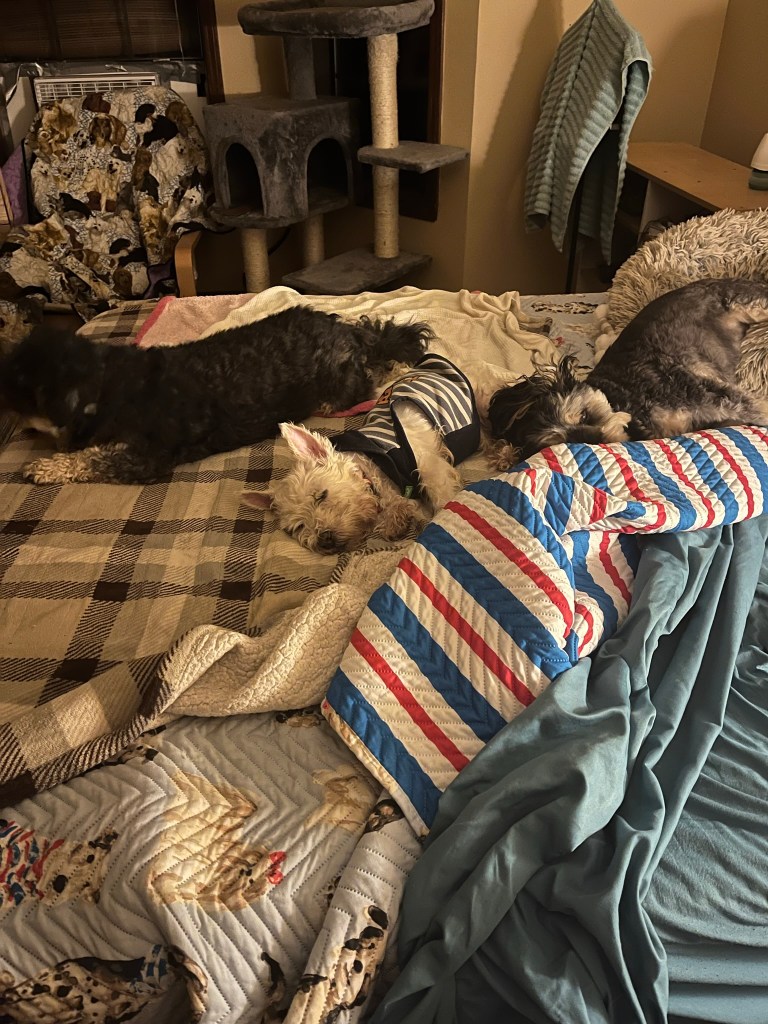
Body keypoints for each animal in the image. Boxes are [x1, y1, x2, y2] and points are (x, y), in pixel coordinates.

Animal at [0, 307, 432, 484]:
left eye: (18, 397)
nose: (19, 430)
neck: (110, 385)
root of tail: (347, 331)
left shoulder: (147, 458)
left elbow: (91, 459)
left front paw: (45, 467)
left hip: (339, 379)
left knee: (366, 380)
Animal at [243, 353, 488, 553]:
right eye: (298, 526)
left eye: (321, 495)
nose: (325, 541)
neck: (373, 463)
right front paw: (397, 520)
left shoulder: (429, 464)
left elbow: (440, 496)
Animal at [487, 277, 768, 467]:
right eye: (560, 444)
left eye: (585, 415)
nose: (597, 439)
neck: (624, 397)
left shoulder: (709, 393)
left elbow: (758, 409)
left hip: (748, 304)